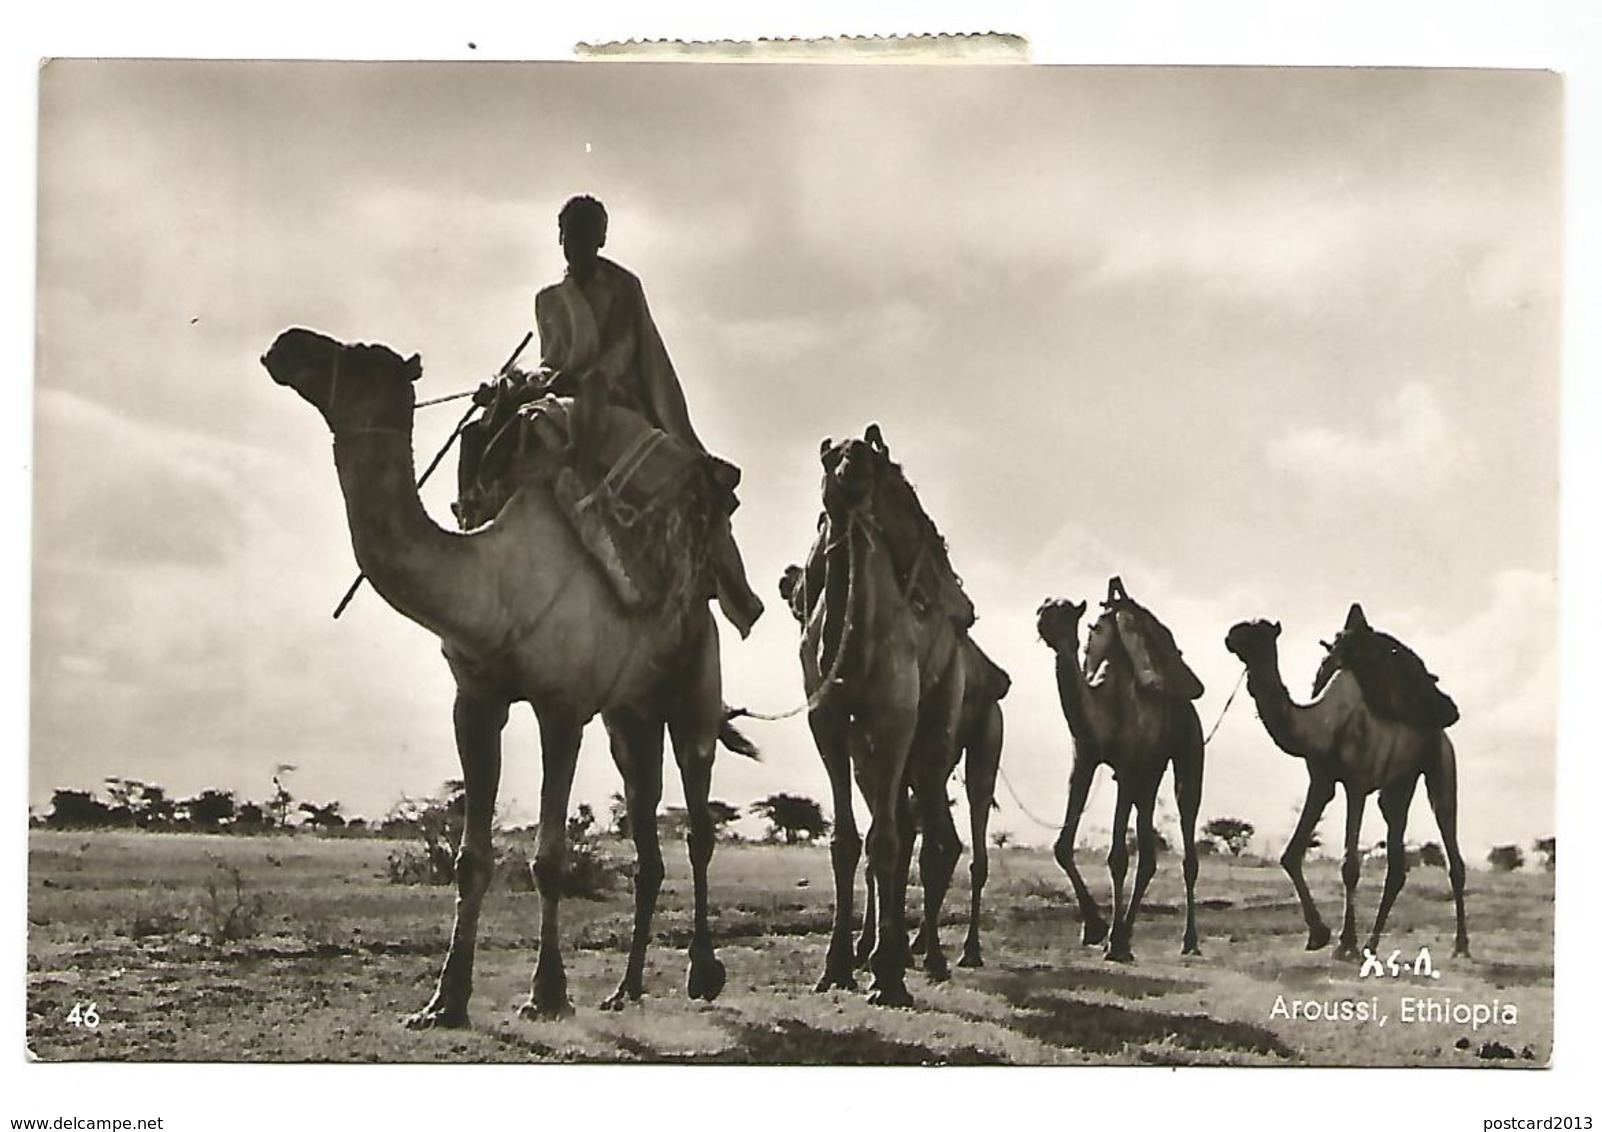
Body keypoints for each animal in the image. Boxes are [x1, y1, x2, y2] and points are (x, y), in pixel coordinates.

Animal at [262, 328, 756, 1024]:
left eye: (361, 355)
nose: (287, 345)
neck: (494, 583)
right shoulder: (476, 699)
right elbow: (470, 858)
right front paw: (445, 1000)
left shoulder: (562, 706)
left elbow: (549, 859)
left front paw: (546, 994)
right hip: (628, 716)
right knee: (647, 840)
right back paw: (625, 987)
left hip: (694, 684)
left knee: (699, 824)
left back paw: (703, 974)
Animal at [797, 425, 961, 1011]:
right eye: (829, 458)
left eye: (870, 457)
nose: (848, 468)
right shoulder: (827, 724)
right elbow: (848, 841)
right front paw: (837, 967)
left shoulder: (892, 720)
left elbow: (886, 840)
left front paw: (888, 976)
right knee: (897, 828)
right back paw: (876, 950)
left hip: (936, 725)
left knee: (931, 838)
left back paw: (927, 958)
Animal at [1038, 589, 1204, 960]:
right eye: (1045, 607)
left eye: (1067, 613)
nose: (1043, 618)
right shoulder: (1084, 761)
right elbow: (1062, 846)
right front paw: (1096, 928)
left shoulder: (1127, 768)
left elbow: (1117, 858)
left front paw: (1109, 939)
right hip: (1150, 773)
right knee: (1149, 855)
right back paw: (1127, 933)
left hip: (1187, 752)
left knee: (1187, 837)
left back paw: (1188, 941)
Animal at [1217, 614, 1467, 960]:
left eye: (1260, 632)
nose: (1231, 635)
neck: (1323, 721)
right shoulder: (1322, 781)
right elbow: (1291, 854)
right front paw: (1318, 935)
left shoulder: (1356, 784)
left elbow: (1350, 866)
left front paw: (1344, 942)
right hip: (1398, 785)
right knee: (1396, 862)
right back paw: (1372, 944)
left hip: (1440, 764)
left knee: (1451, 847)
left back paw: (1461, 946)